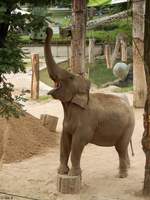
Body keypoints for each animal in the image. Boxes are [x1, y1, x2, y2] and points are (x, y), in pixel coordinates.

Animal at [44, 27, 135, 179]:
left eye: (70, 77)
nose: (48, 29)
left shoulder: (86, 123)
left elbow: (77, 143)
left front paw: (74, 174)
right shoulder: (66, 124)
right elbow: (64, 142)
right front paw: (62, 172)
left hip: (128, 126)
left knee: (120, 147)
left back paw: (122, 175)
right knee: (123, 147)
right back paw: (126, 168)